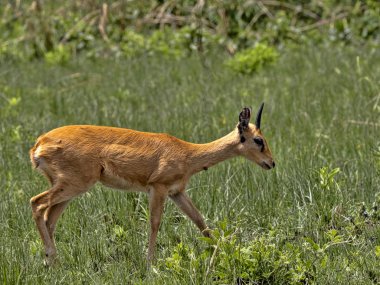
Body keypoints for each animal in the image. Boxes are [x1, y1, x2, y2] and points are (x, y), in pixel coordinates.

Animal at [29, 103, 274, 266]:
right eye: (258, 140)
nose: (271, 163)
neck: (187, 153)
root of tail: (39, 143)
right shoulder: (158, 188)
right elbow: (155, 223)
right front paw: (150, 263)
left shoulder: (177, 192)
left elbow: (199, 220)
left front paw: (224, 253)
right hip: (73, 185)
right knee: (36, 203)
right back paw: (50, 257)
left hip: (69, 190)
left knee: (49, 219)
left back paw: (53, 264)